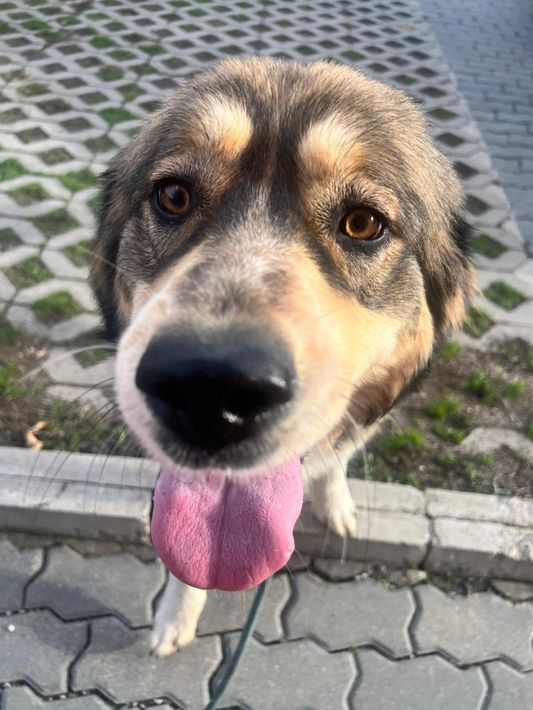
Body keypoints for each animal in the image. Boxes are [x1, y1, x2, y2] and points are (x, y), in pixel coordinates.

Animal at [89, 57, 474, 656]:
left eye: (363, 223)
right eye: (173, 196)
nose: (209, 388)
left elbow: (336, 458)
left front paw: (335, 503)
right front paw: (175, 618)